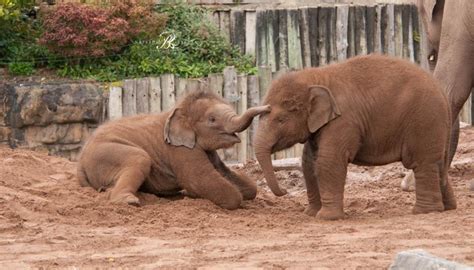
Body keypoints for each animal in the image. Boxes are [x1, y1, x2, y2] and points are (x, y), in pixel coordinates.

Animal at [78, 90, 270, 209]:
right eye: (212, 119)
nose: (268, 108)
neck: (179, 110)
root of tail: (80, 164)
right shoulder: (180, 150)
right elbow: (201, 181)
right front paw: (194, 194)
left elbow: (244, 185)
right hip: (105, 153)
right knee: (140, 158)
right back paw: (128, 201)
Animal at [254, 54, 458, 219]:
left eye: (281, 119)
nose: (285, 190)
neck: (317, 76)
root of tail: (442, 94)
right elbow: (308, 162)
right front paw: (311, 214)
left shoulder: (344, 121)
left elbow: (328, 160)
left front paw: (326, 217)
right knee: (438, 163)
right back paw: (448, 207)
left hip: (424, 121)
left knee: (423, 162)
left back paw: (424, 211)